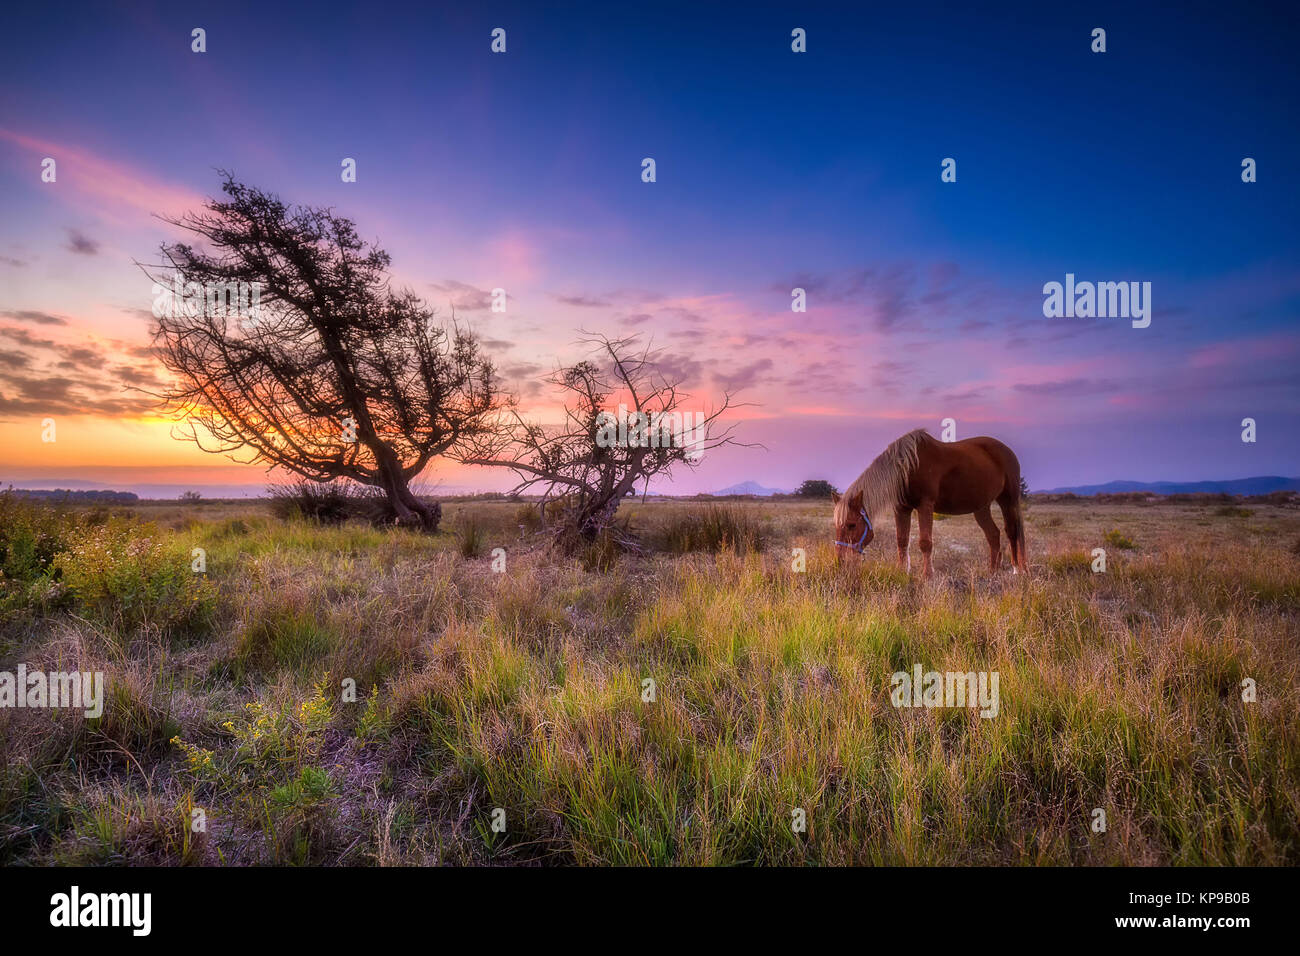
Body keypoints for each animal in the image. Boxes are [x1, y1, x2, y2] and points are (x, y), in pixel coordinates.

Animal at [832, 431, 1024, 574]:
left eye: (851, 525)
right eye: (836, 526)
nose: (840, 562)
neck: (908, 468)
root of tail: (1008, 451)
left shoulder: (925, 505)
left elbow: (925, 542)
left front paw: (927, 576)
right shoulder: (901, 508)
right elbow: (902, 541)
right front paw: (901, 571)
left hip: (1008, 500)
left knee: (1012, 532)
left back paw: (1017, 570)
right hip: (981, 507)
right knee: (993, 535)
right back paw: (993, 572)